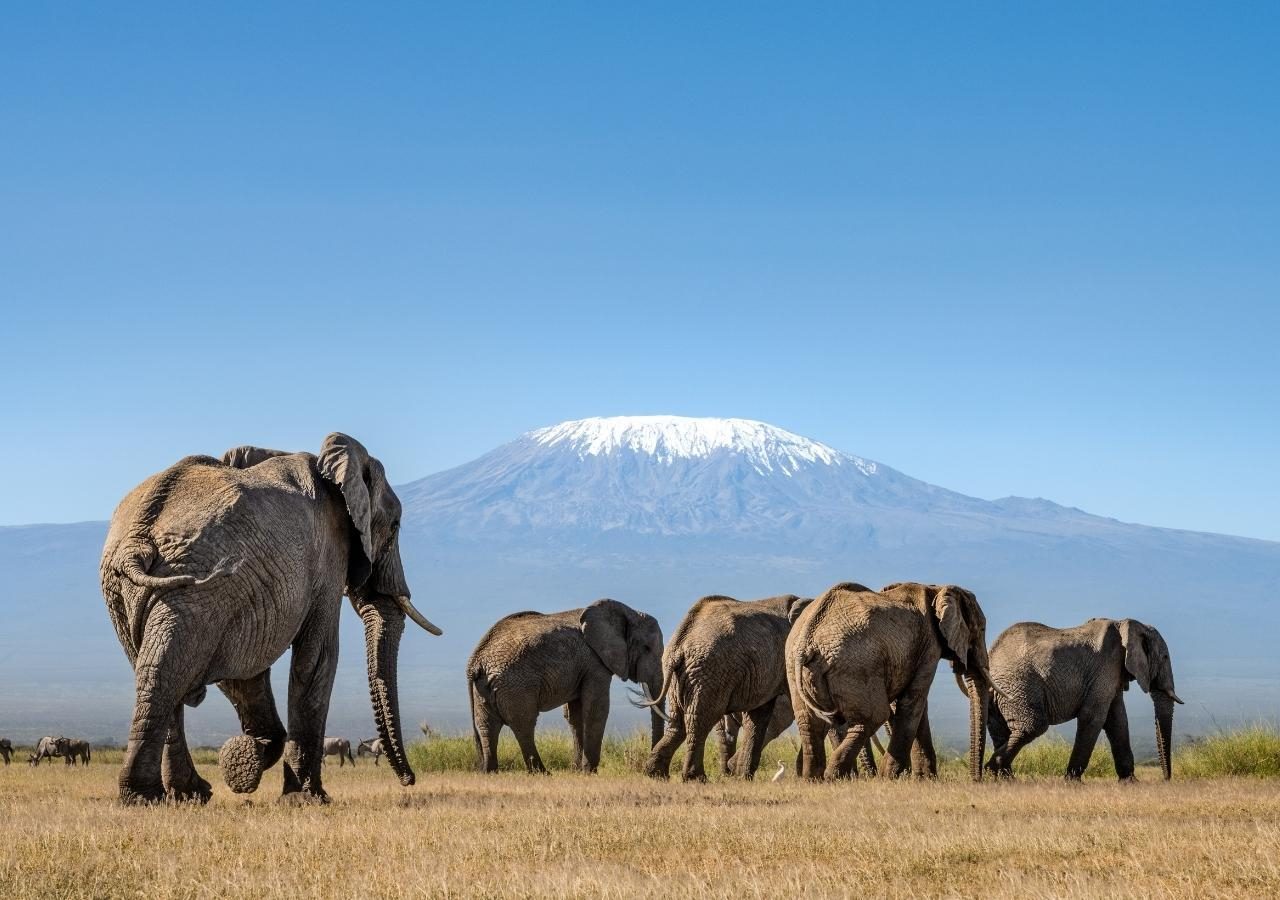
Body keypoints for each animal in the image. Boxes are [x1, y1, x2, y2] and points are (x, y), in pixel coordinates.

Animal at [98, 432, 445, 803]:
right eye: (394, 526)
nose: (409, 780)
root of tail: (137, 540)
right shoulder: (327, 553)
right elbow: (318, 656)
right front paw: (306, 798)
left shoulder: (244, 592)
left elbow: (244, 670)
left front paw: (245, 761)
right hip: (188, 585)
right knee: (168, 669)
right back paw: (152, 796)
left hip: (139, 591)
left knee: (157, 668)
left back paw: (184, 794)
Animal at [473, 599, 670, 773]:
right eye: (646, 648)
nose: (649, 770)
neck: (627, 611)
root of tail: (476, 662)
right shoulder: (595, 662)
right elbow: (597, 709)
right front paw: (589, 772)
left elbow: (576, 715)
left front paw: (577, 770)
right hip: (516, 684)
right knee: (524, 724)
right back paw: (542, 773)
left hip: (483, 689)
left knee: (487, 726)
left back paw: (489, 771)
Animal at [645, 591, 814, 783]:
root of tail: (679, 642)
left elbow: (759, 716)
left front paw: (743, 777)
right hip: (710, 672)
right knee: (700, 719)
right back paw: (696, 778)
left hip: (681, 676)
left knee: (678, 722)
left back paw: (656, 774)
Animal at [783, 583, 993, 783]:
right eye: (982, 629)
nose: (977, 780)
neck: (937, 588)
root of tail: (807, 642)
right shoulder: (929, 645)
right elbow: (913, 702)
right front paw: (892, 777)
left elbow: (915, 705)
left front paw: (924, 779)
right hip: (857, 665)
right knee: (872, 717)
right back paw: (833, 777)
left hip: (795, 669)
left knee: (810, 723)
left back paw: (814, 779)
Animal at [983, 619, 1182, 783]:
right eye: (1165, 657)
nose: (1165, 779)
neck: (1127, 624)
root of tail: (991, 654)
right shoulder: (1107, 666)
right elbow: (1093, 717)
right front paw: (1072, 781)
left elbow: (1118, 721)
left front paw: (1130, 782)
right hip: (1017, 686)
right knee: (1032, 726)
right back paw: (991, 770)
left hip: (1000, 693)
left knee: (1001, 731)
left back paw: (1004, 778)